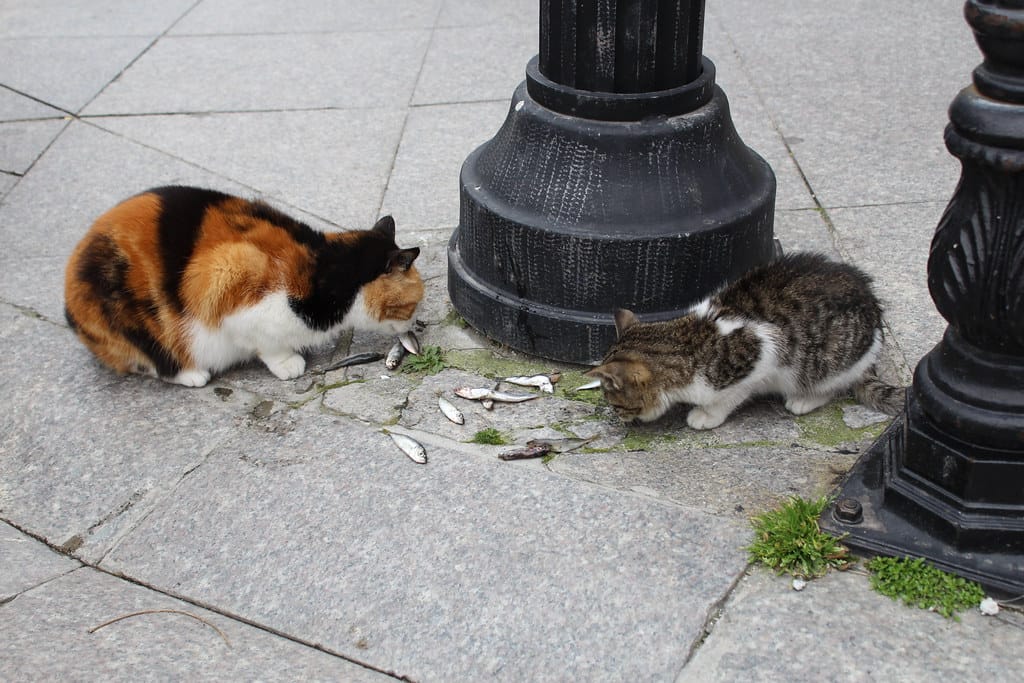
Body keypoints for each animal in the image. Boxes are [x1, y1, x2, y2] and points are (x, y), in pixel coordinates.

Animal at [65, 187, 423, 387]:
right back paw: (191, 374)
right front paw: (287, 363)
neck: (325, 271)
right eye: (412, 304)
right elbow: (265, 342)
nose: (415, 326)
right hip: (130, 320)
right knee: (148, 359)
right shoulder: (225, 280)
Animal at [585, 253, 905, 430]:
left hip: (828, 361)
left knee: (832, 384)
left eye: (615, 403)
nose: (618, 418)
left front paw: (706, 415)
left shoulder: (763, 356)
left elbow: (730, 397)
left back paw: (804, 398)